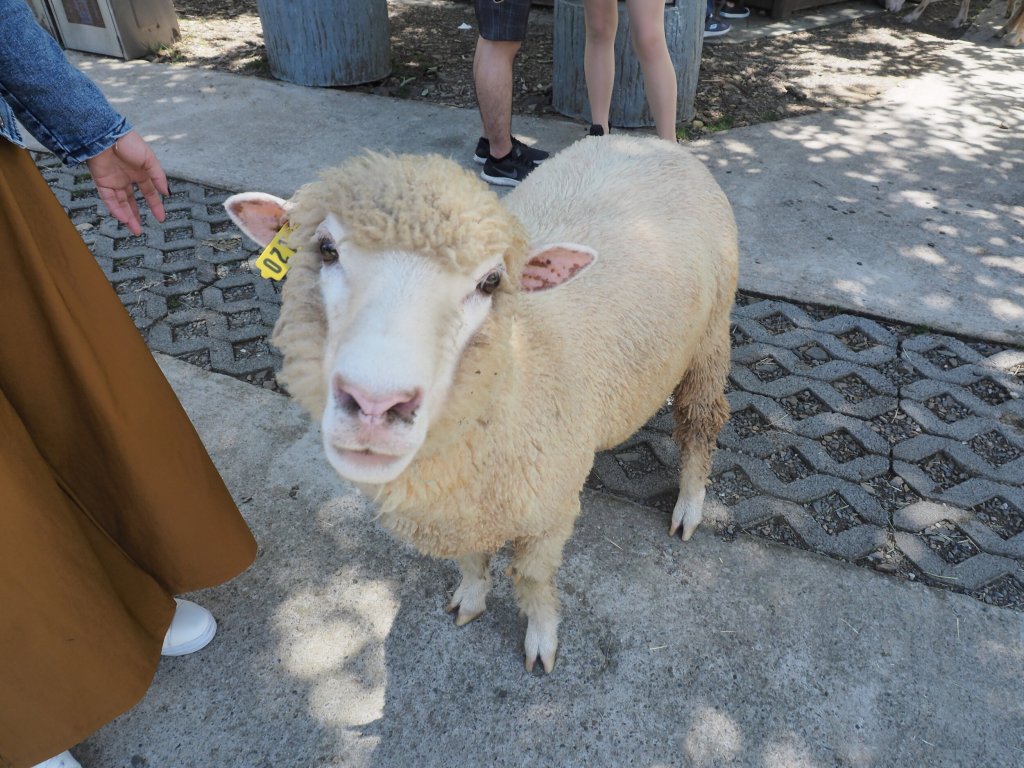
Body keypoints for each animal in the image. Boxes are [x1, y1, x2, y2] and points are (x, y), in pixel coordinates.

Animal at [224, 135, 739, 673]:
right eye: (326, 250)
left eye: (491, 282)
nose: (374, 404)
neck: (521, 367)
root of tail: (646, 140)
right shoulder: (464, 511)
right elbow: (471, 560)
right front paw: (470, 599)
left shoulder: (548, 515)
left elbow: (532, 579)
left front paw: (541, 639)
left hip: (710, 337)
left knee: (701, 423)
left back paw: (689, 506)